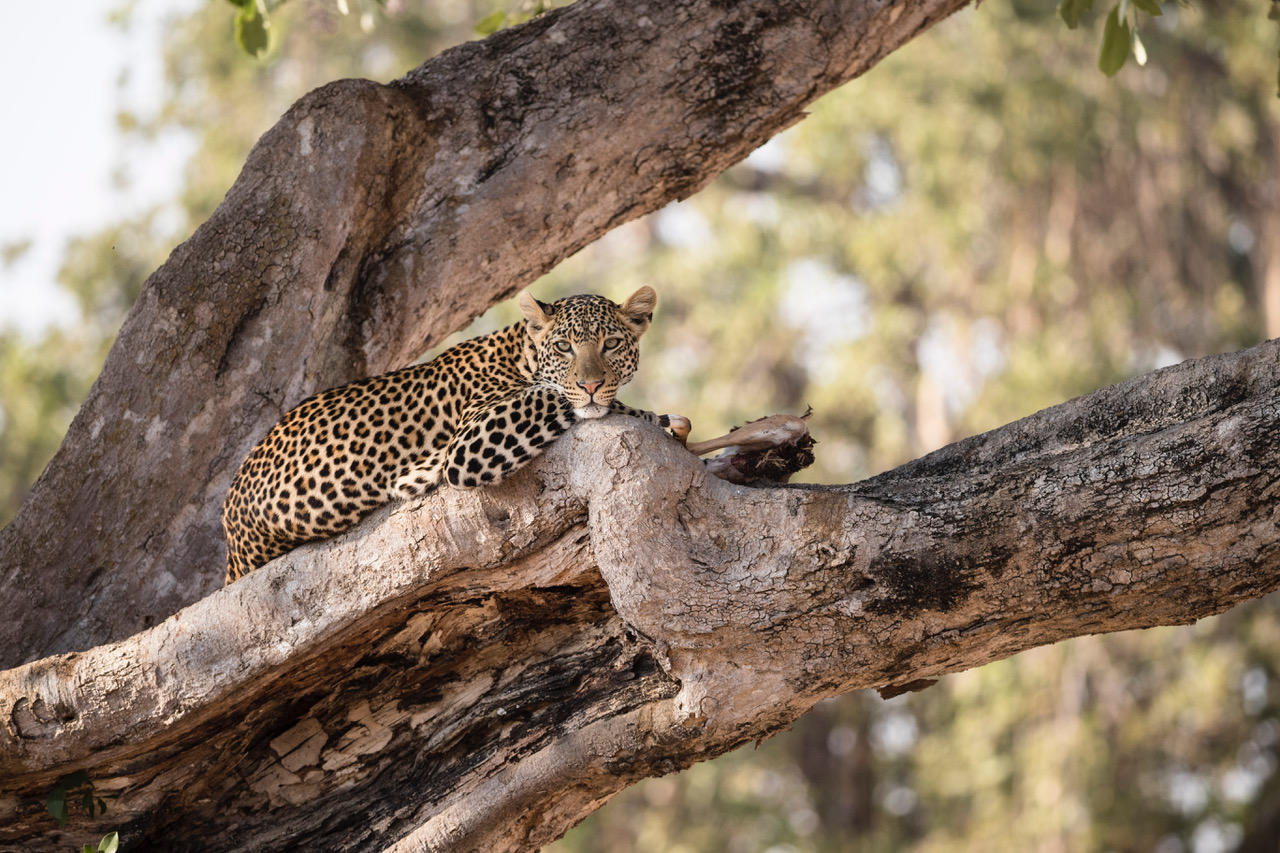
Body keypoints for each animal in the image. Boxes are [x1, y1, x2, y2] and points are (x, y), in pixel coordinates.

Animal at [221, 286, 689, 583]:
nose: (591, 383)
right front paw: (652, 417)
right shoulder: (471, 442)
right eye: (563, 347)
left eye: (611, 344)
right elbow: (554, 394)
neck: (519, 353)